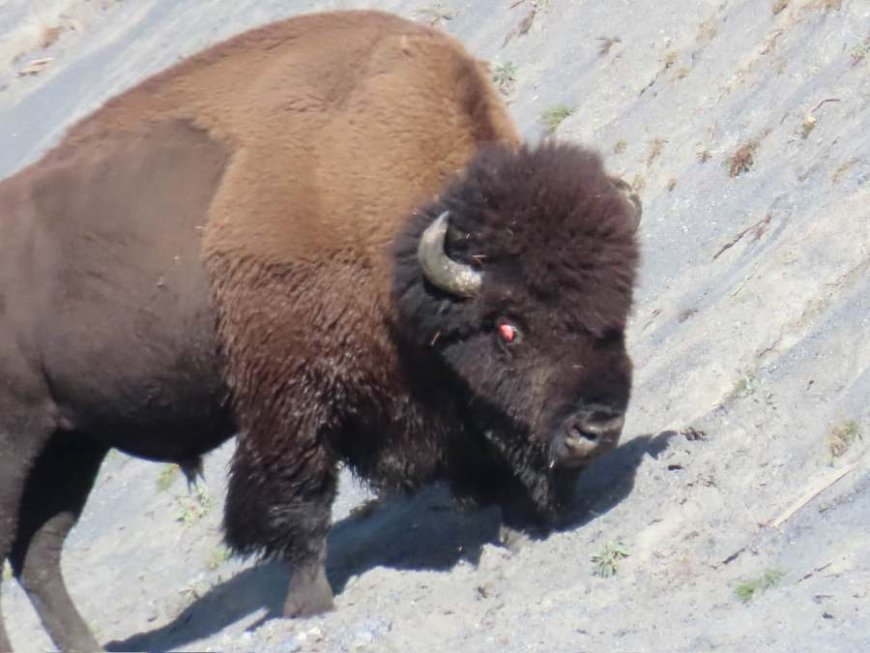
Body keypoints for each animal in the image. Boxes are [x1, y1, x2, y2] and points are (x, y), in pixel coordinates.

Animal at [0, 9, 640, 652]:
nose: (597, 427)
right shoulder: (290, 401)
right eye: (508, 328)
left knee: (38, 554)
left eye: (619, 310)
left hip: (70, 443)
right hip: (20, 439)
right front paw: (311, 603)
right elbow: (301, 500)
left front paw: (518, 528)